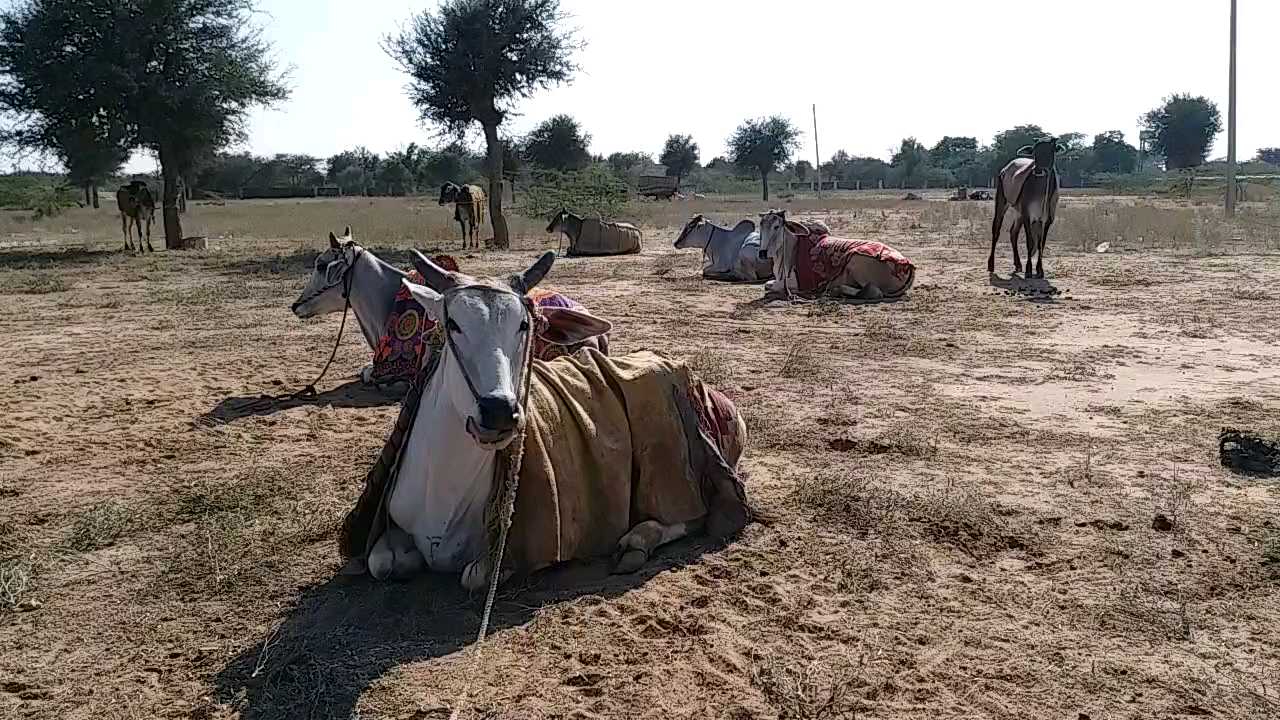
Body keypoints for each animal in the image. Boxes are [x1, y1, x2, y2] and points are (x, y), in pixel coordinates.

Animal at [343, 249, 757, 586]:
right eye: (452, 324)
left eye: (524, 325)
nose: (499, 411)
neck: (441, 491)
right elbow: (381, 563)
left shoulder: (502, 557)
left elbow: (473, 576)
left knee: (699, 512)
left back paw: (638, 540)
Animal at [983, 137, 1064, 278]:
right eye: (1035, 151)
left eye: (1050, 150)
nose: (1038, 170)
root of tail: (1006, 168)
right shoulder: (1027, 215)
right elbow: (1030, 242)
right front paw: (1029, 270)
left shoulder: (1048, 219)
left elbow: (1041, 244)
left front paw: (1040, 270)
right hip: (1002, 201)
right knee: (996, 230)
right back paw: (991, 265)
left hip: (1018, 212)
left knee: (1013, 233)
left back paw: (1018, 264)